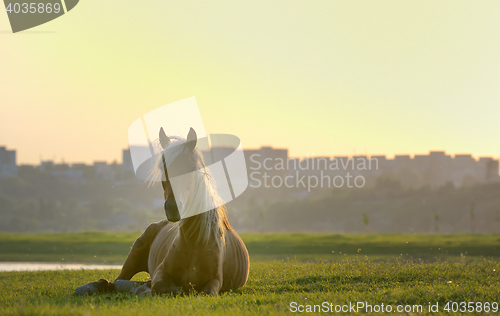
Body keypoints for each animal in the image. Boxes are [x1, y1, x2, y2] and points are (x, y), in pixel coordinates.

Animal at [75, 127, 250, 298]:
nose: (173, 208)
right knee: (113, 282)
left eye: (191, 168)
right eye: (162, 168)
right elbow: (159, 287)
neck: (194, 242)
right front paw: (145, 289)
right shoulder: (161, 272)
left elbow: (204, 293)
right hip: (134, 254)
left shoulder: (215, 282)